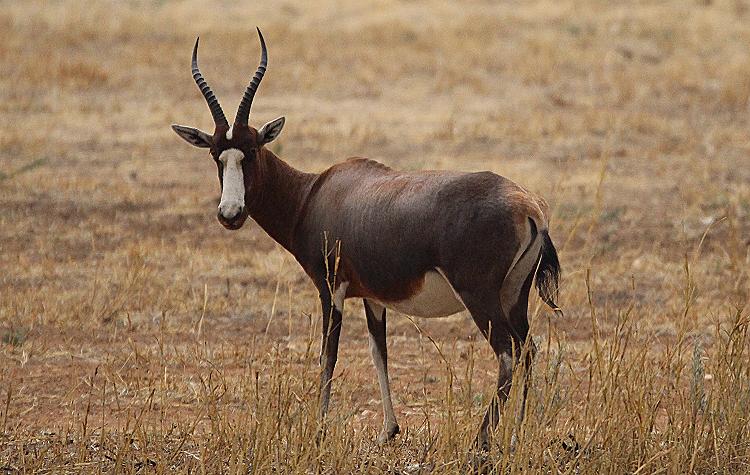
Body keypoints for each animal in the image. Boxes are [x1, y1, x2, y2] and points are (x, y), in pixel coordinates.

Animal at [173, 29, 560, 450]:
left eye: (252, 150)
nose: (230, 214)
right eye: (216, 154)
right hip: (513, 296)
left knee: (507, 353)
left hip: (481, 297)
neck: (316, 192)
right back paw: (516, 435)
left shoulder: (331, 289)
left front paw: (319, 431)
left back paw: (481, 443)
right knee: (528, 350)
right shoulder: (373, 297)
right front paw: (388, 430)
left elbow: (328, 355)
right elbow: (379, 351)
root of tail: (528, 207)